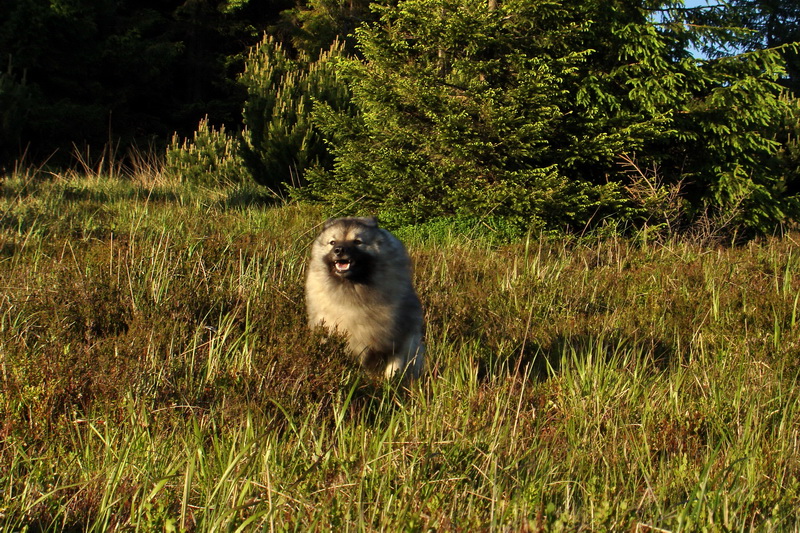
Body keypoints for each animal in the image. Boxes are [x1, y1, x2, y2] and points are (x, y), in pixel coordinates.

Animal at [304, 217, 424, 382]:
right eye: (332, 242)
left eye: (357, 242)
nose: (339, 250)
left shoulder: (401, 338)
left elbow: (395, 367)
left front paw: (390, 383)